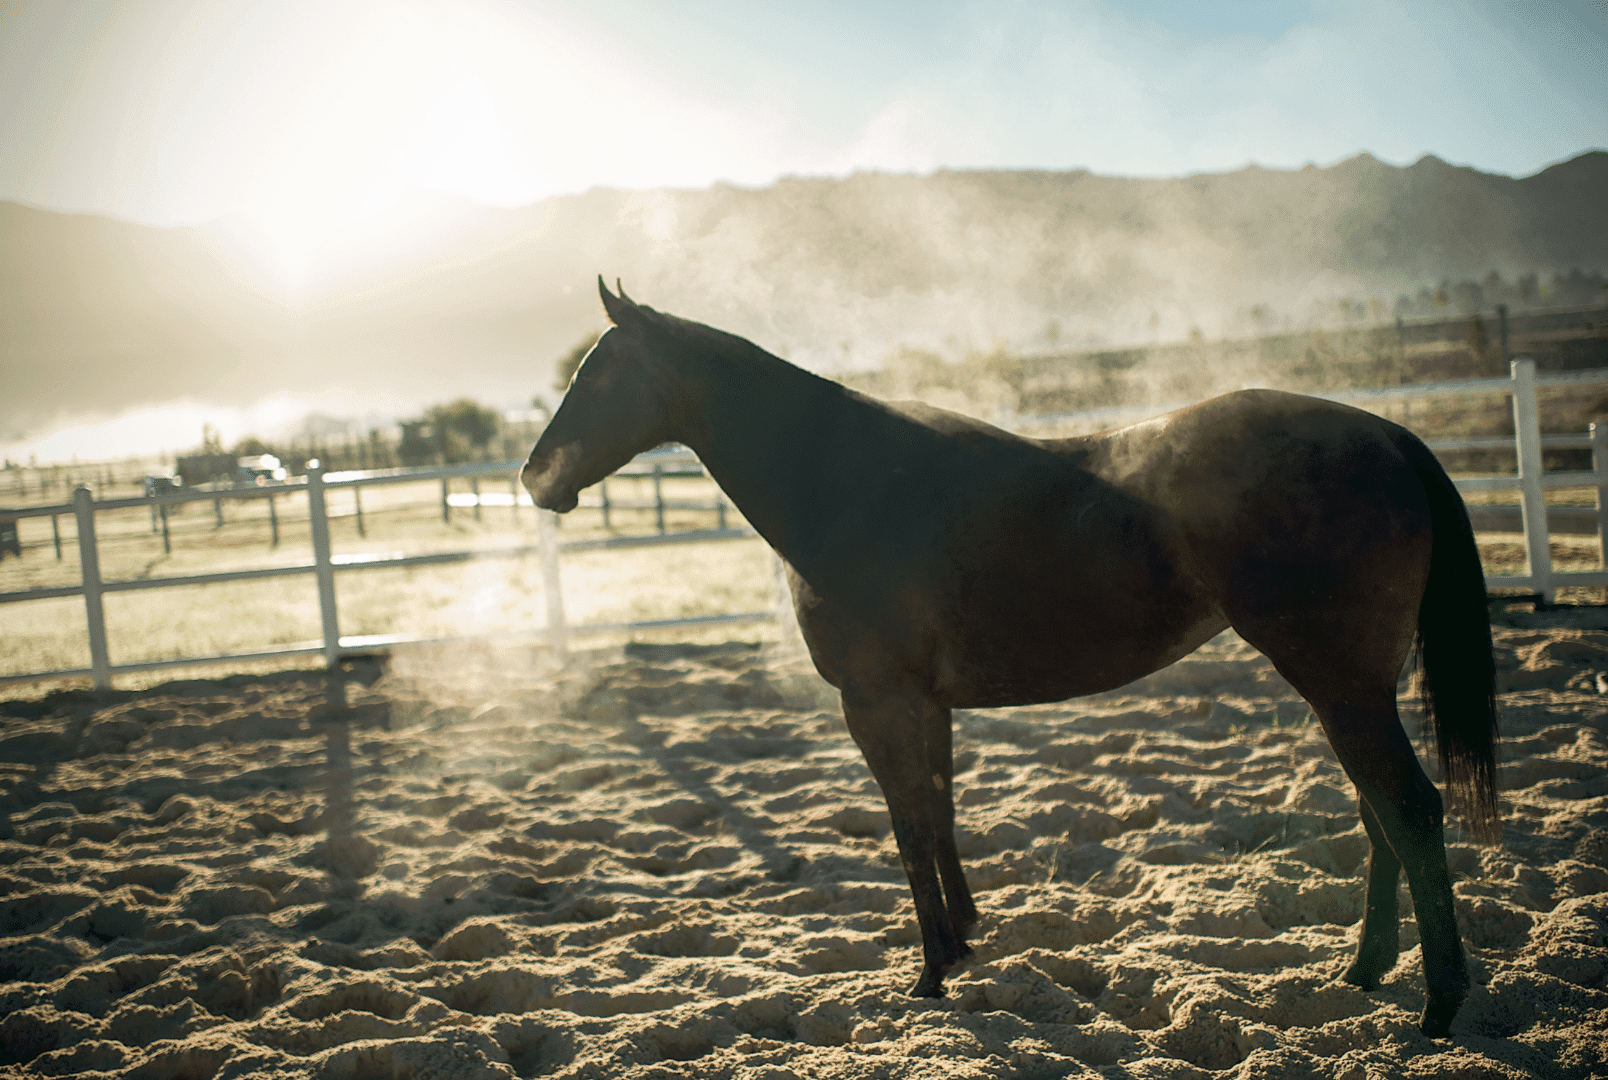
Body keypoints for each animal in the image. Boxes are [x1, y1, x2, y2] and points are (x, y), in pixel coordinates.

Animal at [521, 279, 1499, 1038]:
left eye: (597, 373)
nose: (535, 477)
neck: (850, 483)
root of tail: (1386, 435)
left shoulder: (876, 700)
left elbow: (910, 825)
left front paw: (928, 975)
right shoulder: (925, 702)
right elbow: (940, 811)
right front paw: (960, 941)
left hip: (1341, 685)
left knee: (1412, 812)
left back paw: (1439, 1006)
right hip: (1347, 688)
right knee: (1378, 816)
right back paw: (1363, 972)